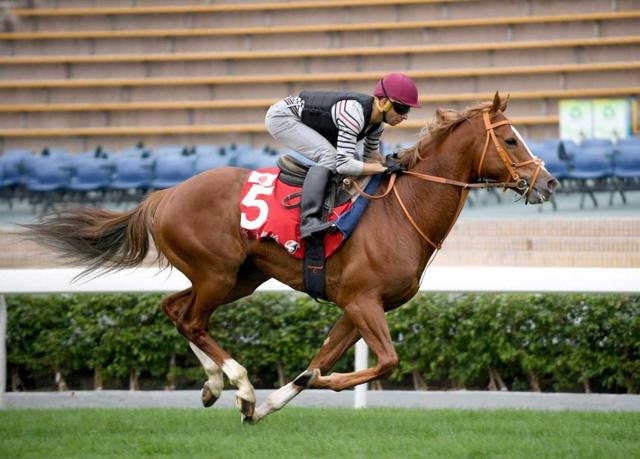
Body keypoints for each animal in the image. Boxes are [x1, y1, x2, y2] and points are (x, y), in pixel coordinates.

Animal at [25, 93, 556, 424]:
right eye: (511, 140)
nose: (548, 182)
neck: (400, 212)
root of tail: (164, 194)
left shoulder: (358, 307)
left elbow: (318, 362)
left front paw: (270, 404)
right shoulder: (362, 301)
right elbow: (383, 362)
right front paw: (316, 384)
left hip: (241, 277)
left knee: (175, 309)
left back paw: (215, 386)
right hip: (218, 273)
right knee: (192, 319)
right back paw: (238, 383)